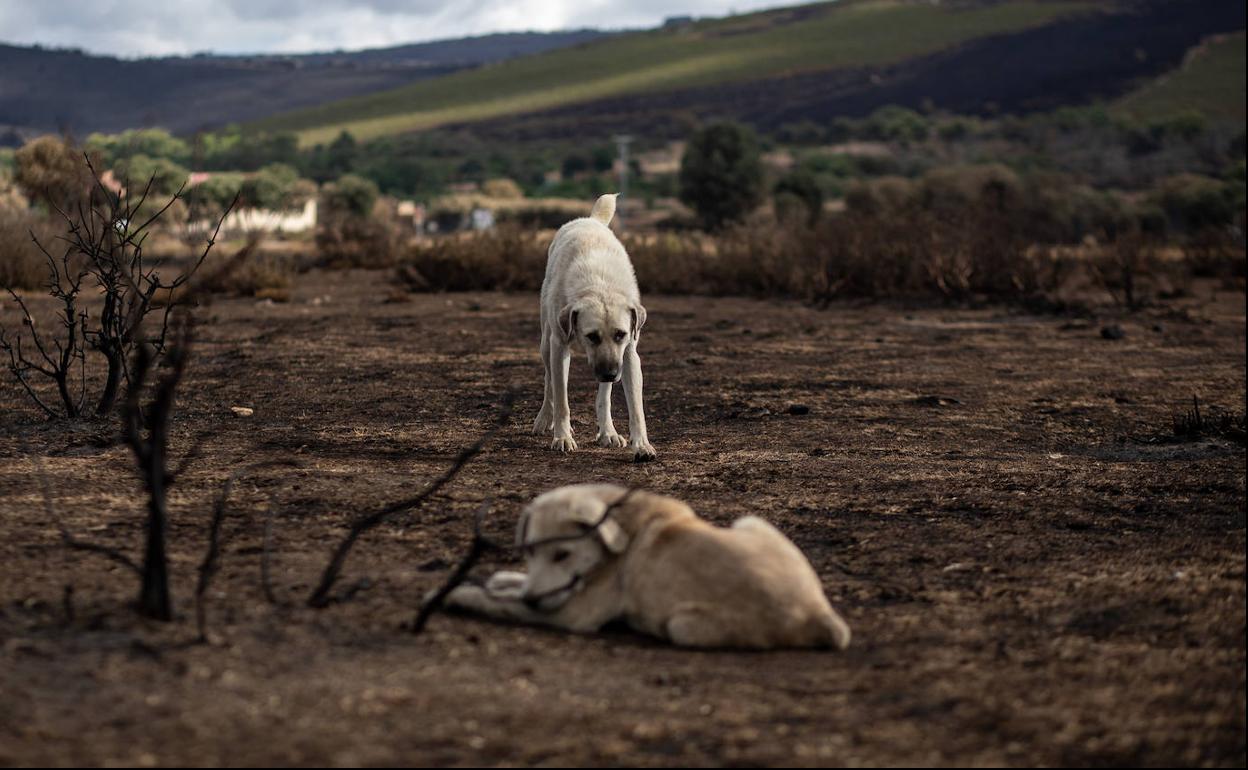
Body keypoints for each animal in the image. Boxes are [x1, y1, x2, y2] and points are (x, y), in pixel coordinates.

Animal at [444, 486, 853, 648]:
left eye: (562, 555)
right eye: (528, 551)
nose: (532, 599)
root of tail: (821, 615)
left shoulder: (572, 614)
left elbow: (501, 603)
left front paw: (463, 593)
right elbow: (514, 588)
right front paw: (502, 579)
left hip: (683, 626)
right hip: (750, 521)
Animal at [531, 192, 658, 459]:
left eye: (620, 334)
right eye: (591, 336)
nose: (610, 374)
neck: (600, 287)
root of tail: (590, 220)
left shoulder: (628, 354)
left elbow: (636, 408)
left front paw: (642, 445)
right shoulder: (559, 346)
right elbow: (562, 400)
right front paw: (562, 437)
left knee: (603, 396)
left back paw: (608, 432)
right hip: (546, 343)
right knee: (549, 383)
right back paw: (545, 420)